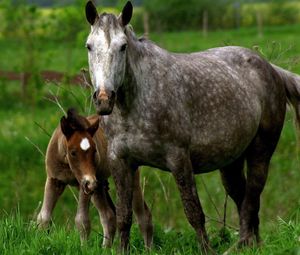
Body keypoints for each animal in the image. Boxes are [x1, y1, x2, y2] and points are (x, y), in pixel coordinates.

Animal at [85, 0, 300, 252]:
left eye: (123, 47)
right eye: (89, 46)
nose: (104, 98)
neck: (137, 103)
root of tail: (271, 69)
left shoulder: (178, 158)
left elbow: (194, 212)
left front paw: (207, 250)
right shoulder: (120, 161)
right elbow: (123, 216)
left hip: (261, 152)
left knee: (252, 199)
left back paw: (241, 246)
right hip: (231, 162)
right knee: (243, 199)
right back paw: (253, 245)